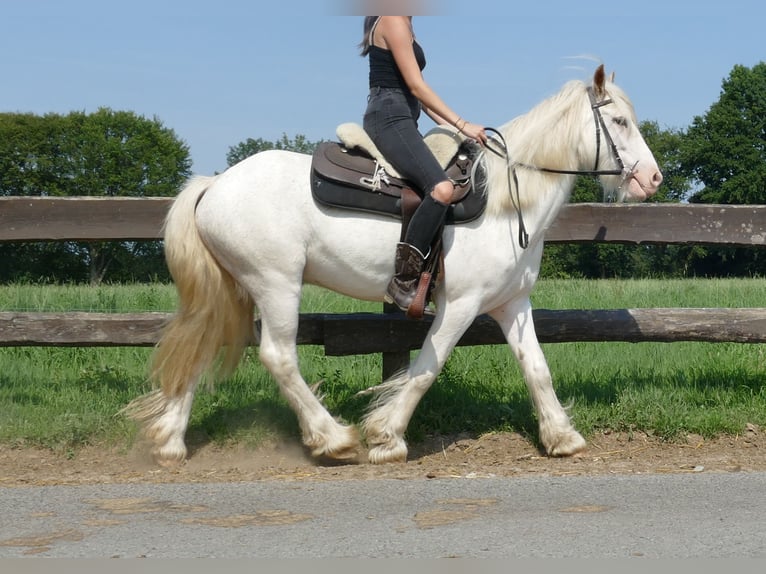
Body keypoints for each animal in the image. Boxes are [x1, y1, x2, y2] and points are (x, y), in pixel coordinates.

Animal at [124, 65, 660, 468]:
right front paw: (386, 436)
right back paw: (333, 438)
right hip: (276, 284)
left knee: (201, 346)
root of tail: (215, 184)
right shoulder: (460, 304)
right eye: (620, 122)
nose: (652, 178)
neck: (507, 202)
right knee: (279, 357)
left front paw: (561, 437)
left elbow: (537, 368)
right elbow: (426, 369)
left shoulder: (511, 304)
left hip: (233, 289)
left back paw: (170, 440)